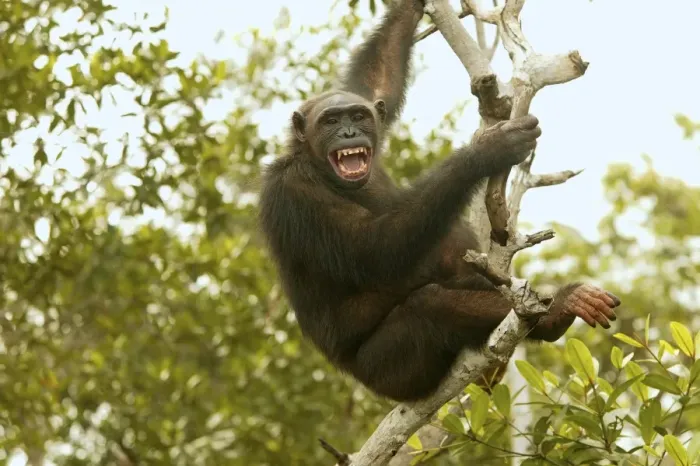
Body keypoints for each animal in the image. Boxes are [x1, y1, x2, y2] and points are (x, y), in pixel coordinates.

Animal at [259, 0, 621, 402]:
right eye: (330, 121)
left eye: (357, 115)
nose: (348, 132)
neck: (315, 164)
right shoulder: (295, 192)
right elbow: (373, 248)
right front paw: (487, 151)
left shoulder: (372, 104)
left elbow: (377, 79)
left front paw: (409, 8)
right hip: (393, 372)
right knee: (430, 303)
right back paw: (558, 310)